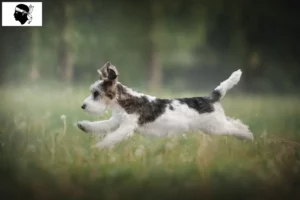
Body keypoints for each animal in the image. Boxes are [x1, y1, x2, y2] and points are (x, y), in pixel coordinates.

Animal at [77, 62, 253, 148]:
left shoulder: (127, 126)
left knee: (235, 127)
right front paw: (83, 126)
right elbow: (100, 126)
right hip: (215, 126)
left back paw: (248, 137)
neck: (125, 101)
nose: (83, 106)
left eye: (96, 93)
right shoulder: (116, 122)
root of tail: (211, 98)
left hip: (216, 127)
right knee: (237, 123)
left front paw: (99, 147)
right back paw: (248, 135)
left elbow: (111, 137)